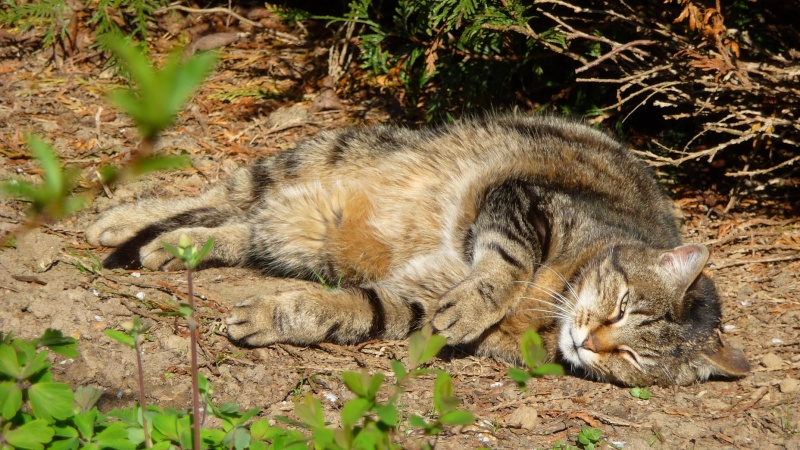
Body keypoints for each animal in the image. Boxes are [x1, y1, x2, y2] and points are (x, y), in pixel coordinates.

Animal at [87, 114, 752, 384]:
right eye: (621, 306)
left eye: (634, 359)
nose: (589, 342)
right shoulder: (524, 203)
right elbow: (505, 265)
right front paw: (479, 300)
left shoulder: (416, 299)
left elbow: (359, 310)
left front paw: (280, 316)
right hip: (312, 157)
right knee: (215, 192)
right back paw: (118, 221)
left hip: (306, 232)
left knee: (232, 228)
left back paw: (173, 247)